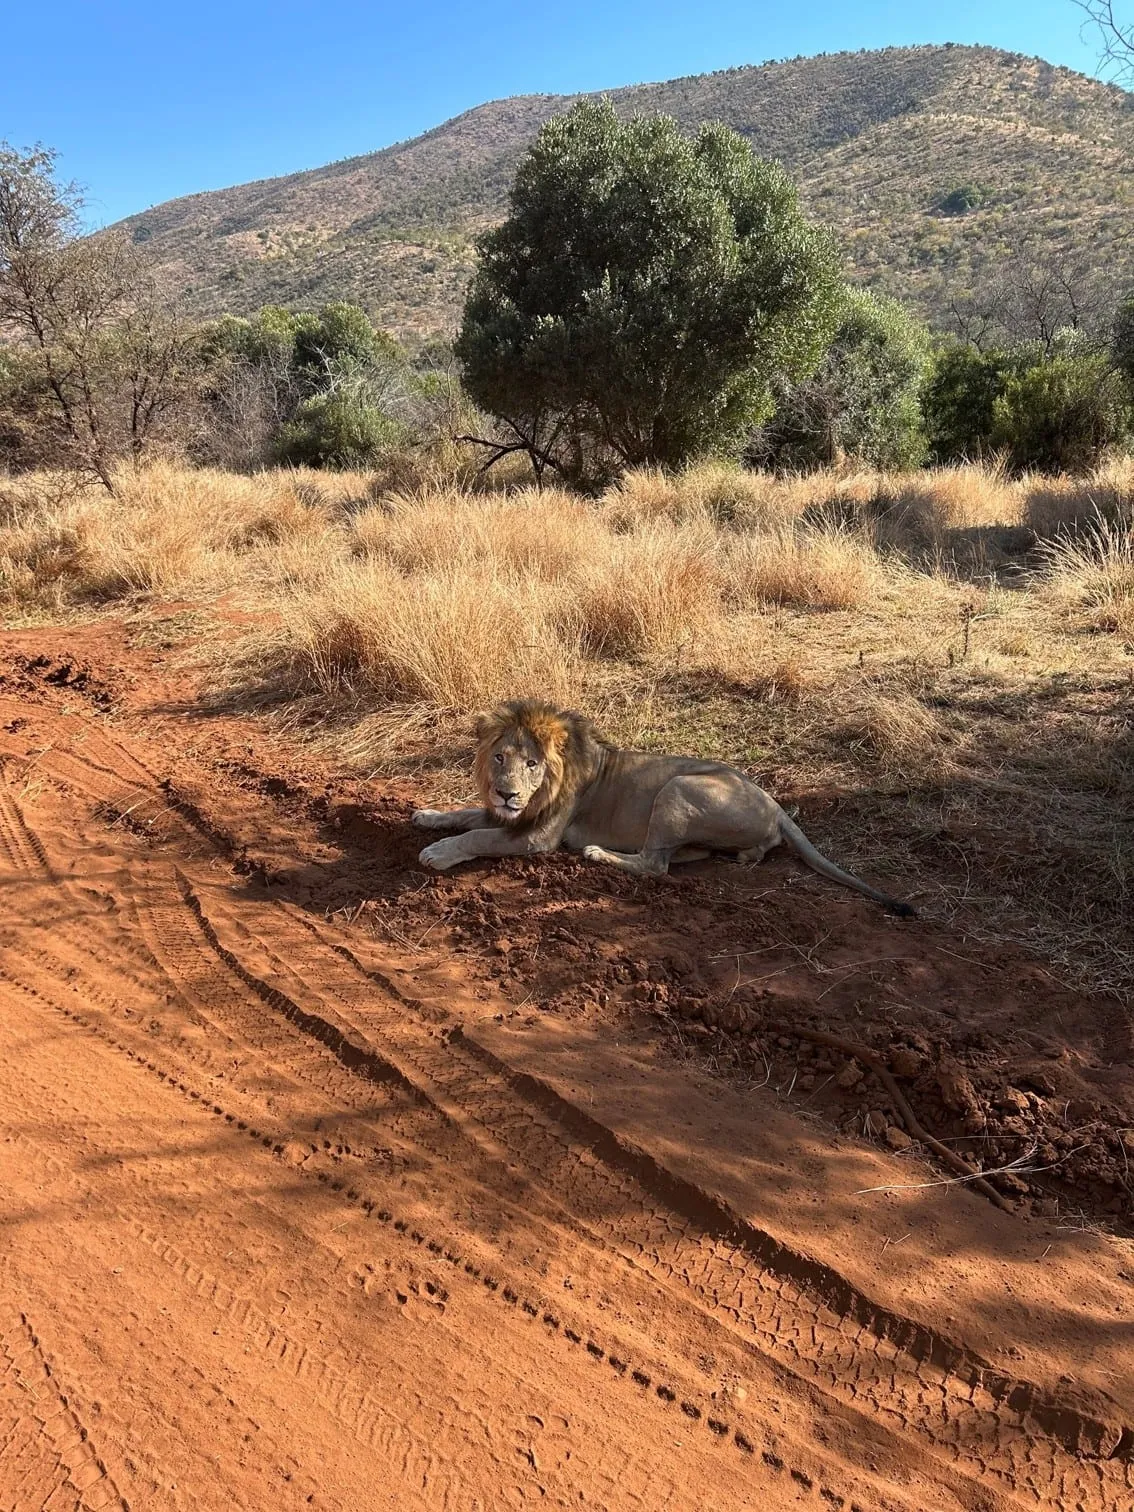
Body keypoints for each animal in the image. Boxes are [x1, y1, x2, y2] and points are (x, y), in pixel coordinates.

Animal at [413, 699, 915, 917]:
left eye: (532, 764)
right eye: (500, 758)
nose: (506, 794)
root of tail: (776, 806)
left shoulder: (539, 835)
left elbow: (479, 834)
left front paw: (437, 853)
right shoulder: (512, 816)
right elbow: (465, 814)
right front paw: (428, 816)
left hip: (676, 788)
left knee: (655, 865)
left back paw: (598, 854)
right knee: (682, 856)